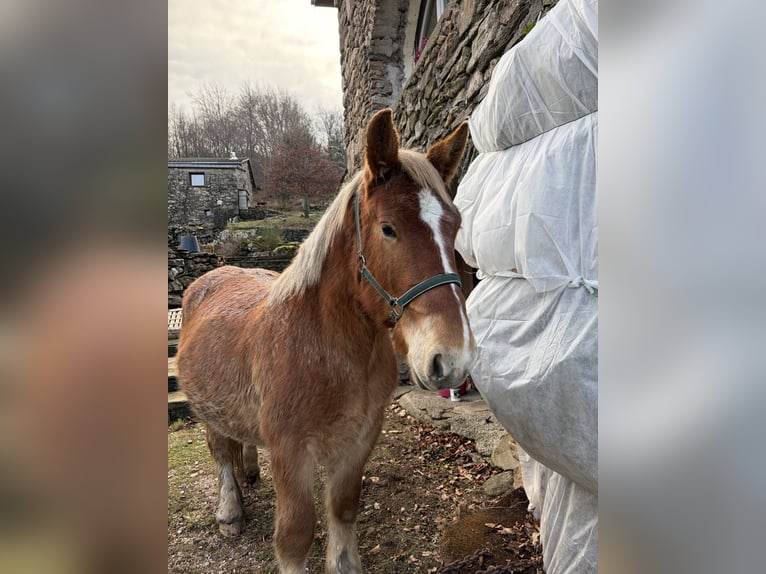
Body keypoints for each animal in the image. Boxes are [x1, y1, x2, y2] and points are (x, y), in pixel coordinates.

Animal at [176, 108, 475, 574]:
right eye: (388, 229)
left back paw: (249, 473)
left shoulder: (359, 441)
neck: (325, 349)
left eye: (455, 226)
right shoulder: (290, 451)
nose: (452, 358)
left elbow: (344, 508)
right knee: (220, 448)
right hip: (207, 407)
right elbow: (296, 534)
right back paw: (230, 511)